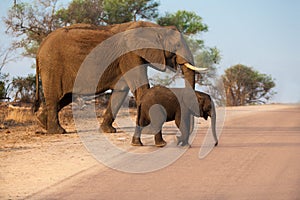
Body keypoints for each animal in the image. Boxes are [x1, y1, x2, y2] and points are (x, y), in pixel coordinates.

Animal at [34, 21, 205, 134]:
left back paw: (42, 123)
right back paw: (58, 131)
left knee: (65, 97)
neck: (156, 28)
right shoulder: (130, 55)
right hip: (52, 66)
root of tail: (39, 48)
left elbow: (120, 92)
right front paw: (150, 129)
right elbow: (141, 88)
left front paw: (109, 131)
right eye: (177, 46)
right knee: (55, 97)